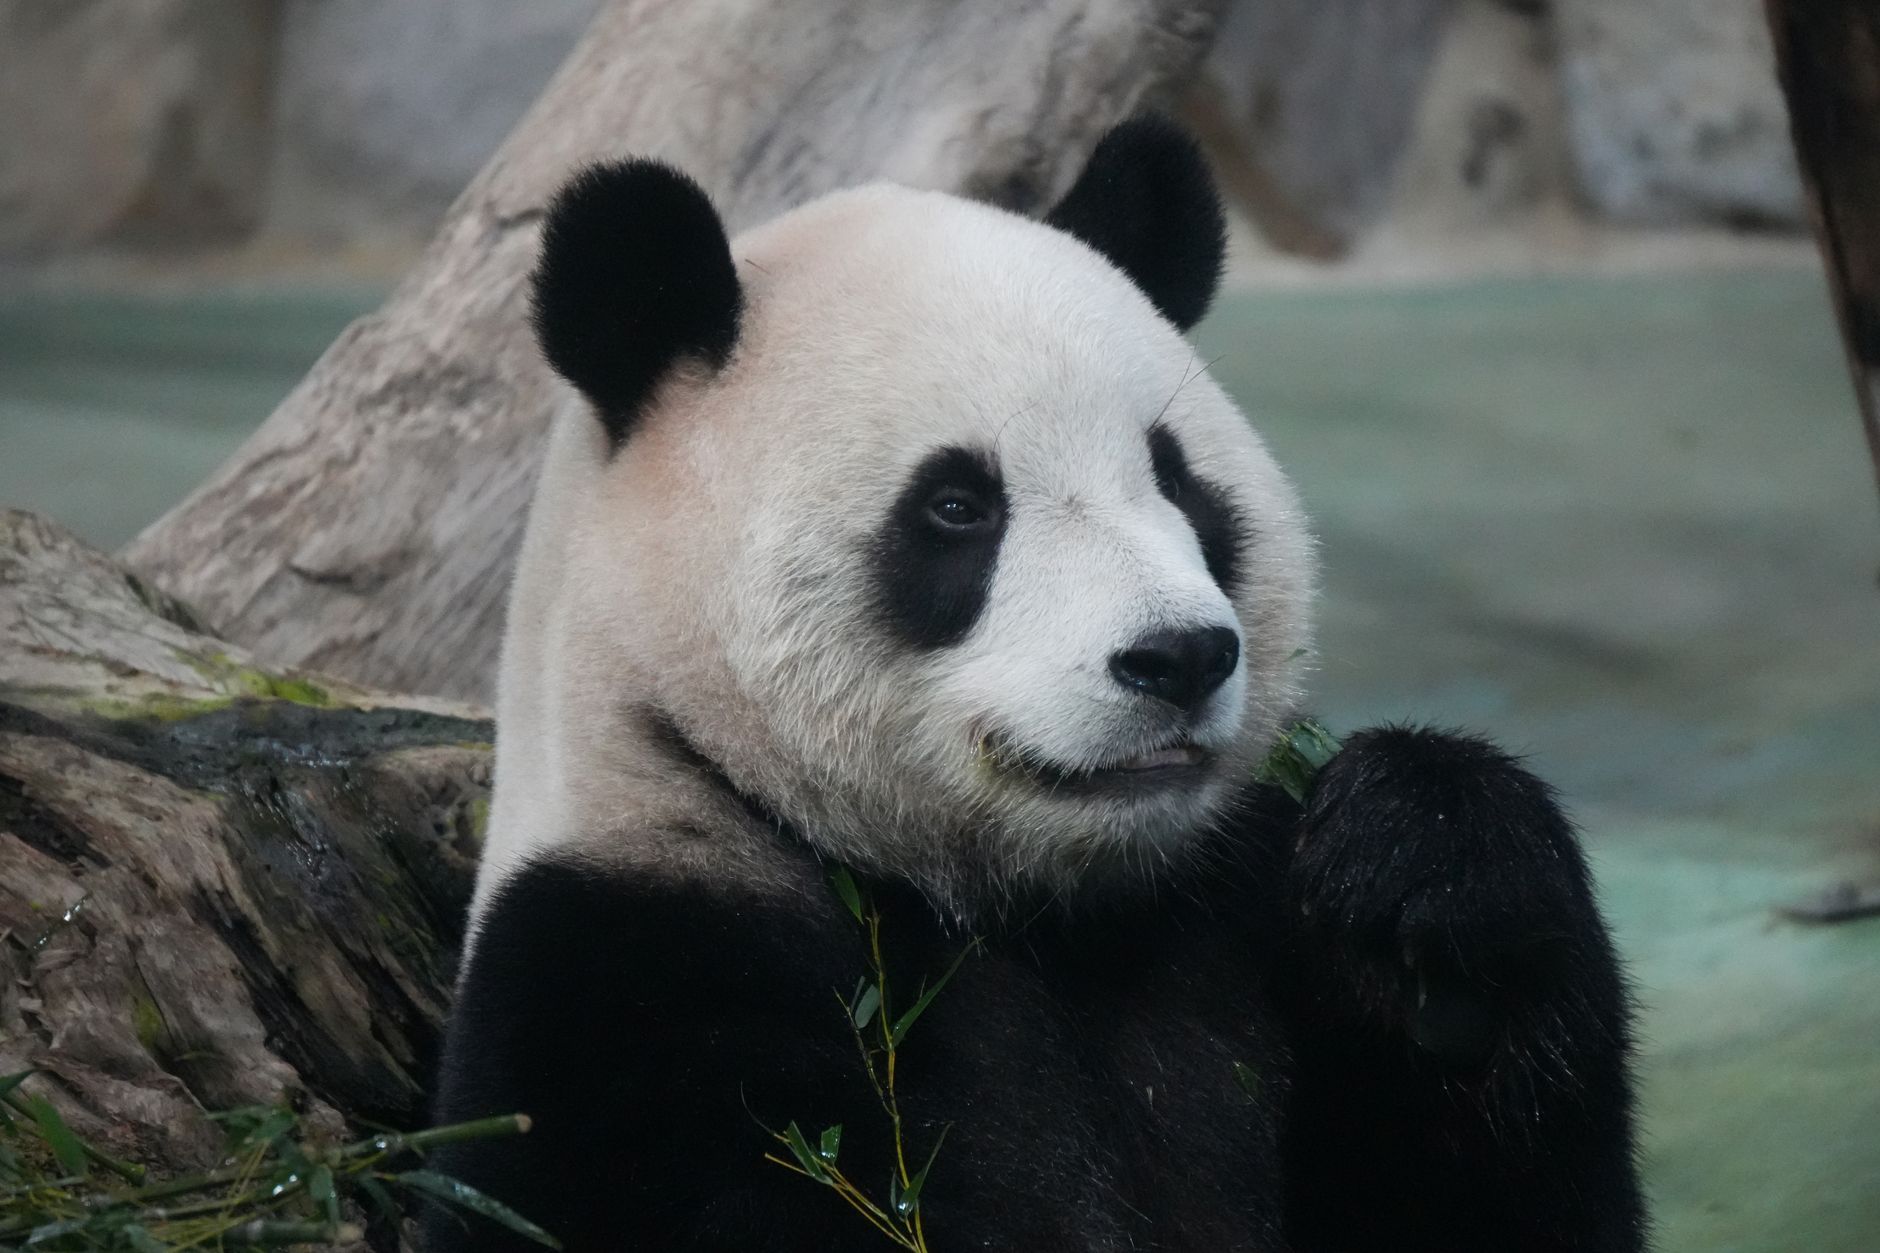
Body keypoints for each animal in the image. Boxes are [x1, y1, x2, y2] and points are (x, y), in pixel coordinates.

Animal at [427, 117, 1646, 1253]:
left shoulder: (1231, 913)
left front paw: (1425, 892)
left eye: (1175, 479)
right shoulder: (630, 977)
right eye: (957, 505)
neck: (1043, 913)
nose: (1178, 656)